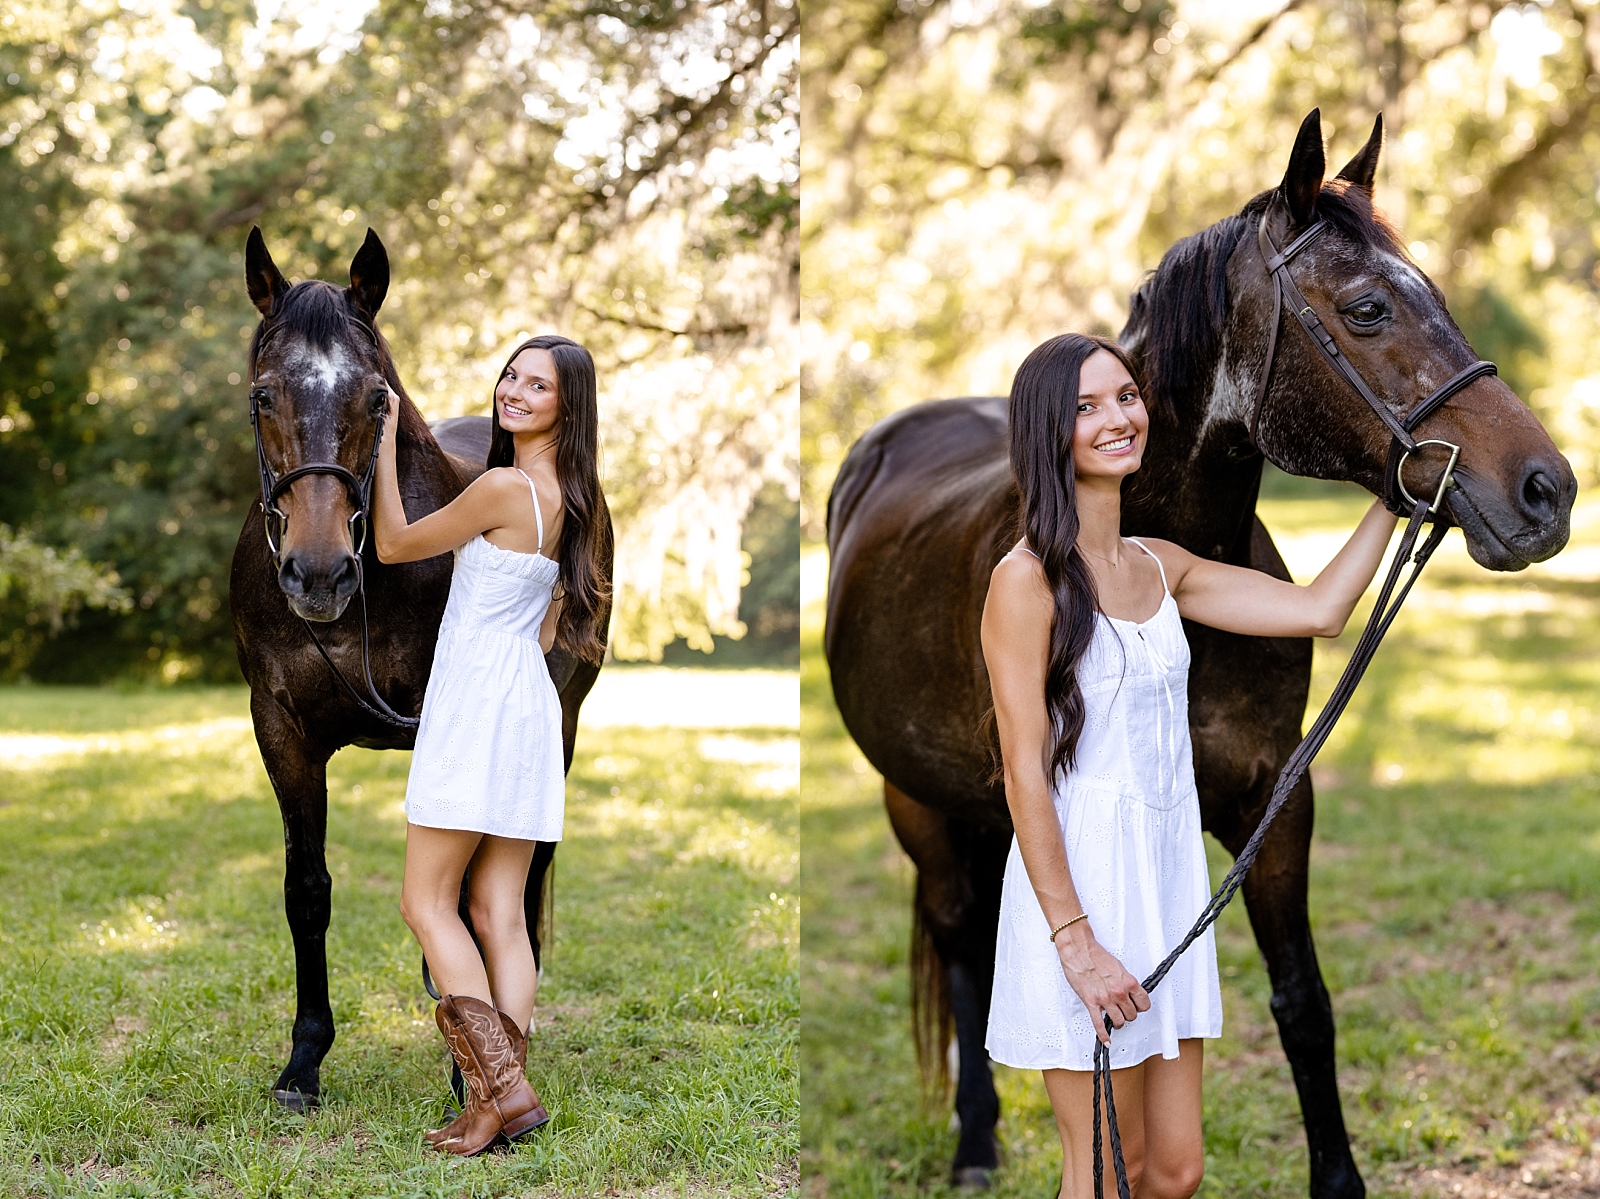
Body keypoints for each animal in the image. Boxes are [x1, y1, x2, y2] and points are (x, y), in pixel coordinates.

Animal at [825, 109, 1574, 1190]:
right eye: (1366, 308)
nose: (1546, 492)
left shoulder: (1275, 804)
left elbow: (1303, 1004)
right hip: (918, 801)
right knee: (964, 945)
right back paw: (974, 1143)